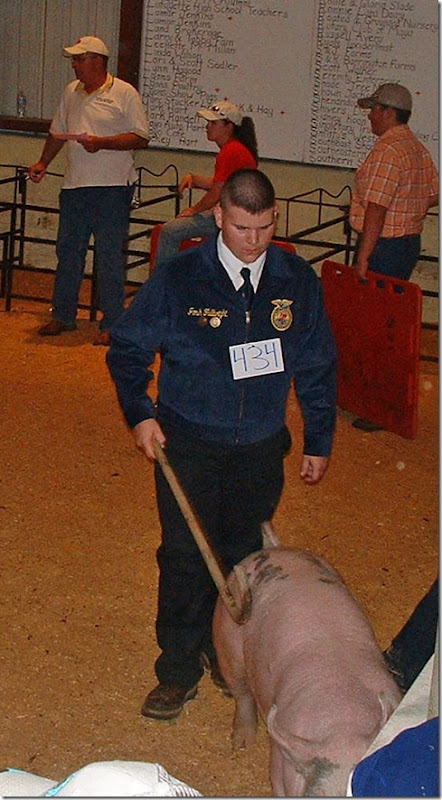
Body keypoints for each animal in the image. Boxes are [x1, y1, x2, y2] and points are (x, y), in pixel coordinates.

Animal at [212, 524, 402, 792]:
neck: (343, 722)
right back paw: (241, 743)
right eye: (317, 793)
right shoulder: (279, 768)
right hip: (227, 636)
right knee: (241, 691)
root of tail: (273, 548)